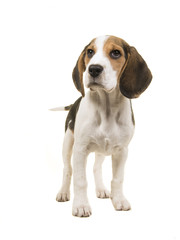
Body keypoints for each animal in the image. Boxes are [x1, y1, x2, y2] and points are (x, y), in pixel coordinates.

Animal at [53, 35, 152, 218]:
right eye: (90, 52)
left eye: (116, 53)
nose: (93, 69)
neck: (106, 107)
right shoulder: (80, 149)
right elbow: (80, 180)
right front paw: (81, 205)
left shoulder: (121, 150)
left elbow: (118, 179)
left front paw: (119, 200)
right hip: (68, 143)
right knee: (67, 169)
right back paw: (63, 192)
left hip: (102, 150)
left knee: (96, 168)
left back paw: (101, 189)